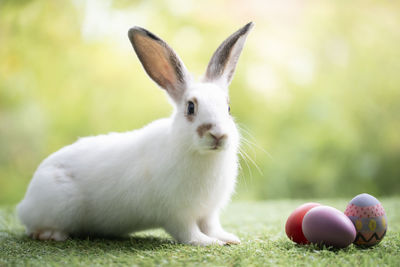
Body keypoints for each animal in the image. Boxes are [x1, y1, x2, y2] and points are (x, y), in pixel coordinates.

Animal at [16, 22, 253, 246]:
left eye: (228, 108)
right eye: (190, 107)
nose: (218, 135)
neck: (203, 156)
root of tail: (26, 200)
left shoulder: (209, 212)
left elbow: (212, 226)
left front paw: (228, 238)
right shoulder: (177, 214)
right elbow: (189, 233)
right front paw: (208, 243)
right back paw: (51, 234)